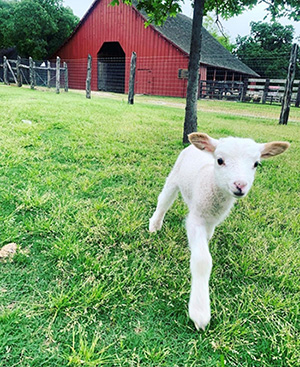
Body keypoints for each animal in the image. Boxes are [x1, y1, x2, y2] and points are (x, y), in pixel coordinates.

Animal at [150, 134, 290, 332]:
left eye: (256, 164)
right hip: (175, 175)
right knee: (164, 200)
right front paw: (200, 312)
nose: (240, 185)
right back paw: (154, 225)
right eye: (220, 160)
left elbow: (205, 241)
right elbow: (202, 260)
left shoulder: (212, 221)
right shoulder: (196, 219)